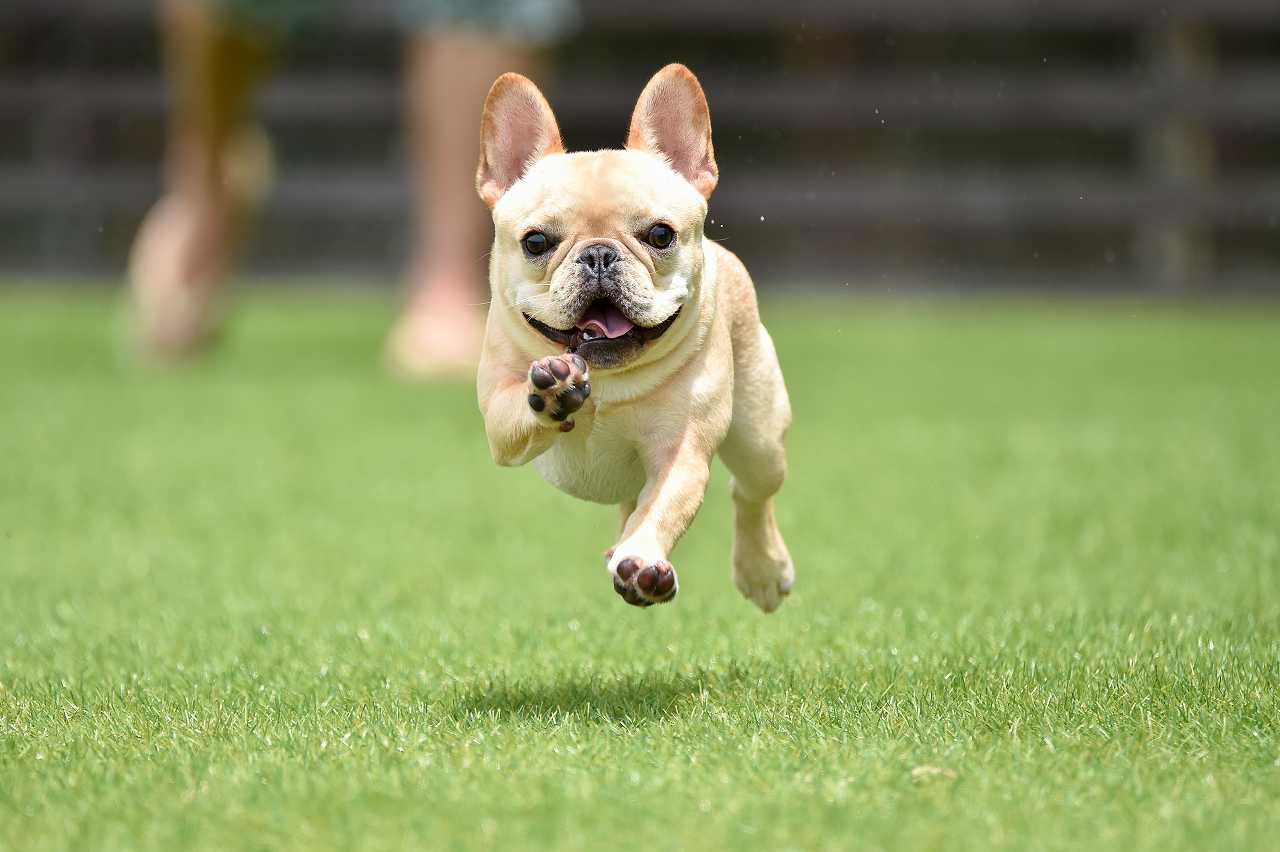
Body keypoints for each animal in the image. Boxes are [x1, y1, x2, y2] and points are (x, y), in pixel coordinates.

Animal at [473, 64, 788, 611]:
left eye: (660, 235)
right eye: (536, 242)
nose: (599, 254)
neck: (607, 379)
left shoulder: (679, 454)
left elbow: (662, 509)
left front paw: (642, 562)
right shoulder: (498, 421)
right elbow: (518, 406)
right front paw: (552, 390)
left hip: (760, 438)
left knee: (749, 491)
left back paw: (762, 569)